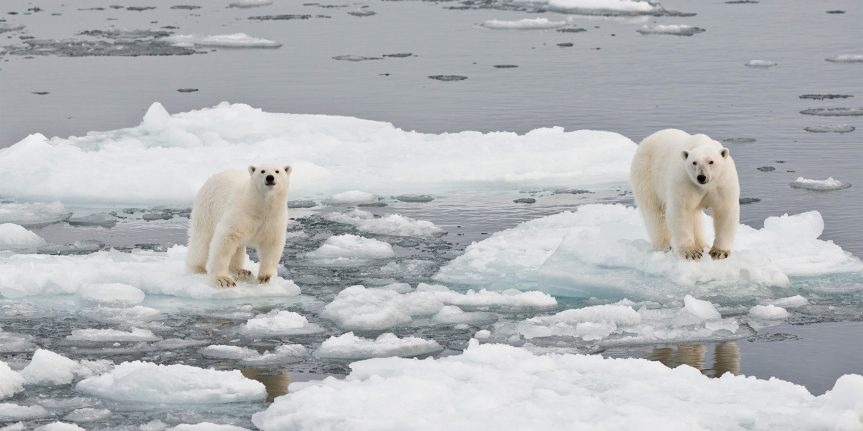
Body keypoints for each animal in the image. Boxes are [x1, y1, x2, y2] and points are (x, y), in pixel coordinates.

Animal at [629, 129, 740, 260]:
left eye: (711, 161)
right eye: (694, 162)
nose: (701, 177)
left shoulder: (723, 183)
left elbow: (725, 210)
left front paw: (719, 252)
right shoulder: (685, 181)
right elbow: (681, 210)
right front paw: (691, 252)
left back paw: (702, 244)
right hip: (646, 175)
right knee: (654, 212)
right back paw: (665, 245)